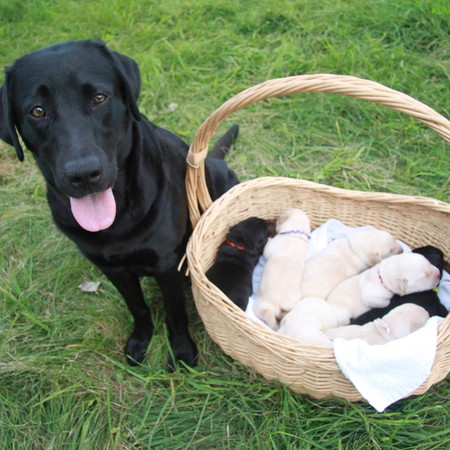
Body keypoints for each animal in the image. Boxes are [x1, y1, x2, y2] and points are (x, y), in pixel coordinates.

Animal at [0, 39, 241, 370]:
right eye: (37, 111)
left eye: (99, 98)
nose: (83, 174)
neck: (118, 222)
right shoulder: (111, 268)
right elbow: (137, 307)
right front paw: (140, 341)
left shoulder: (167, 264)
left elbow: (175, 313)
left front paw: (181, 352)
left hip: (219, 177)